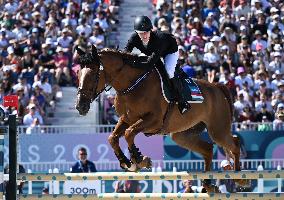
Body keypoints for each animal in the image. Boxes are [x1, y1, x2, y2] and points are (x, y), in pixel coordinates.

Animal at [75, 45, 240, 172]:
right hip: (183, 135)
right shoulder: (126, 119)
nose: (80, 106)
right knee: (208, 149)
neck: (131, 85)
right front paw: (127, 162)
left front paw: (140, 160)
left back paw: (239, 177)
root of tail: (218, 87)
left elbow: (129, 133)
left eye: (92, 76)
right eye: (78, 74)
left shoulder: (153, 120)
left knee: (234, 143)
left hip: (217, 130)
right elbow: (113, 138)